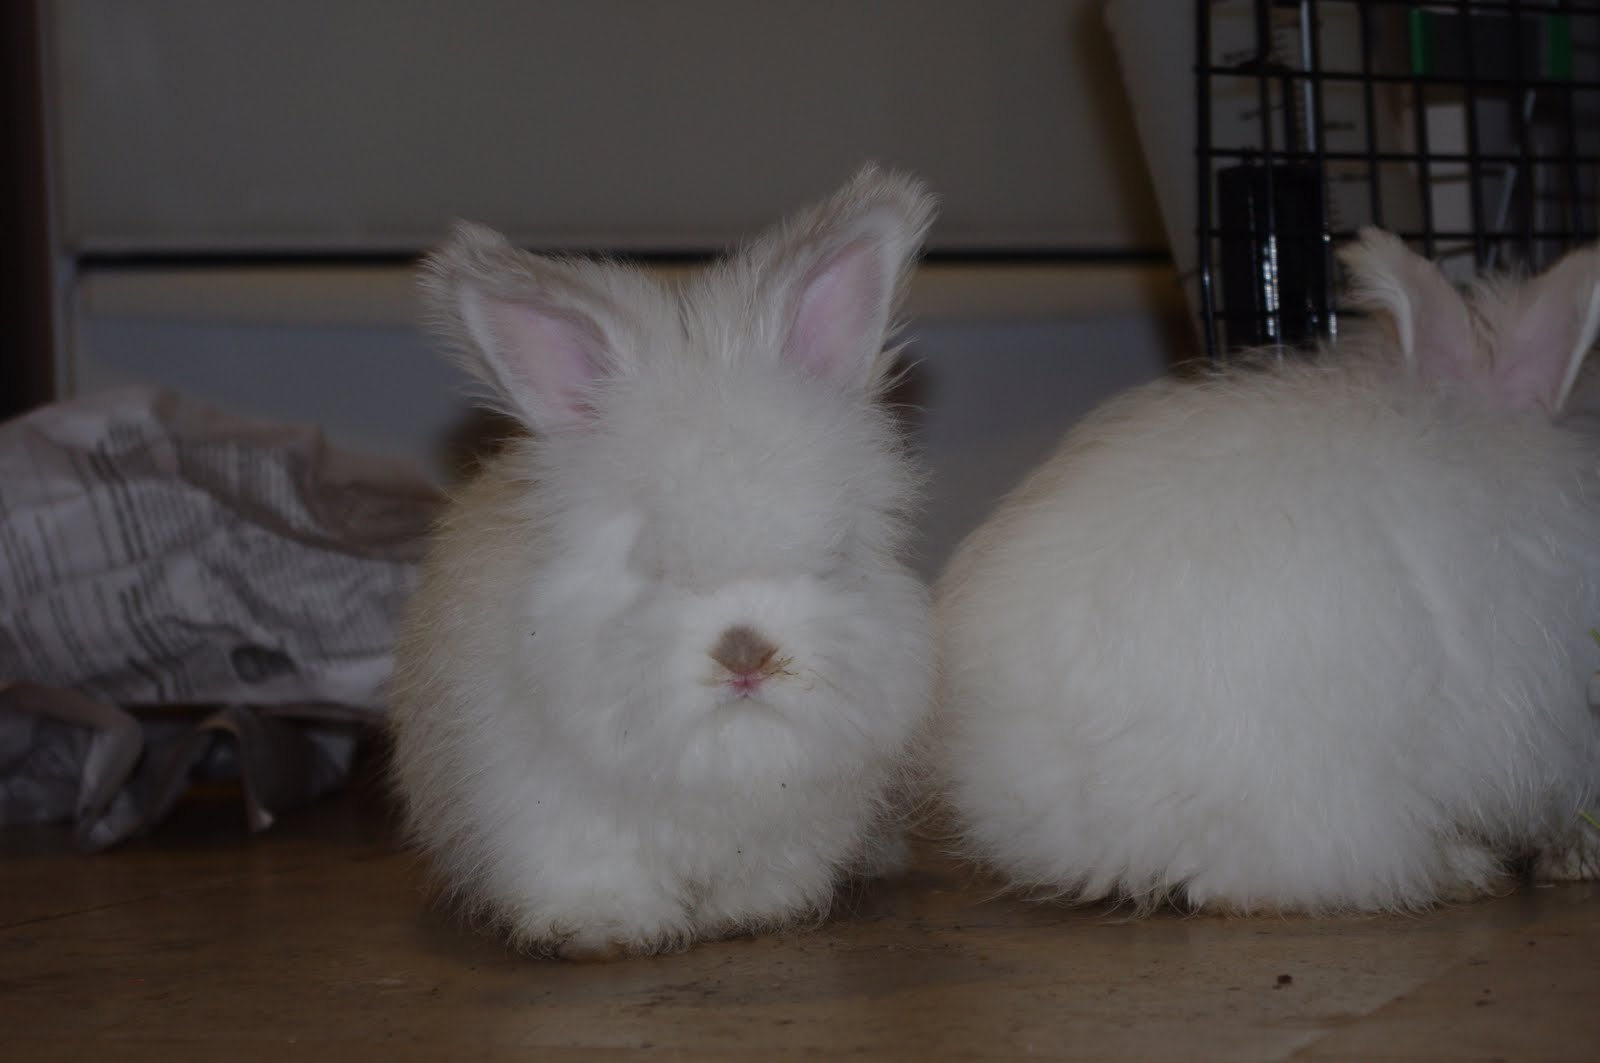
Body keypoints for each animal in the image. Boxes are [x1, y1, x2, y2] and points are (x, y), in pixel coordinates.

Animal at [386, 166, 938, 958]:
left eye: (833, 552)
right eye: (648, 563)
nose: (746, 653)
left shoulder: (799, 828)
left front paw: (749, 915)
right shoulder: (546, 808)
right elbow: (589, 867)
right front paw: (602, 928)